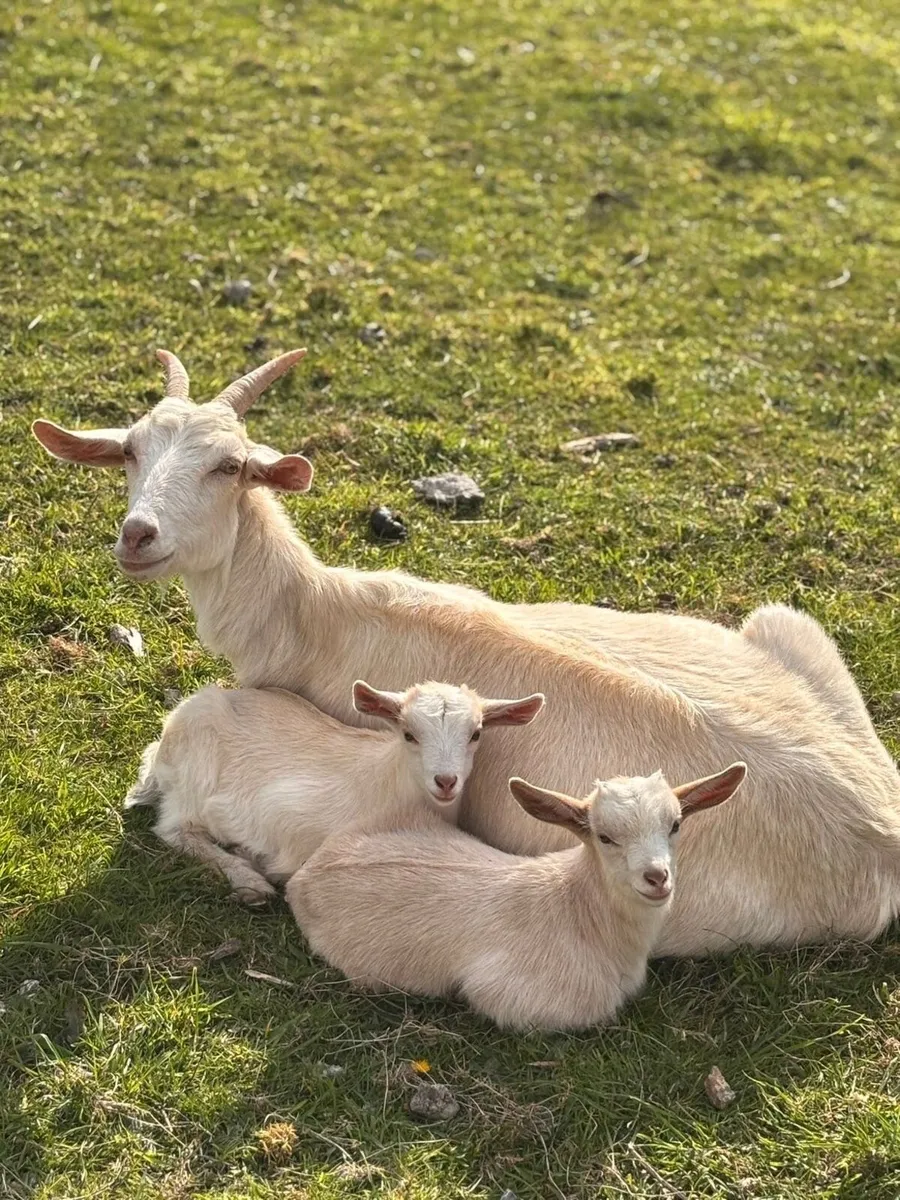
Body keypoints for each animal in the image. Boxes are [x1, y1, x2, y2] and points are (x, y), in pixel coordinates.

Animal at [125, 679, 543, 904]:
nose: (445, 781)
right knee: (175, 831)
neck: (385, 783)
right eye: (409, 734)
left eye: (476, 734)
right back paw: (249, 880)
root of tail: (168, 734)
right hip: (192, 783)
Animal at [288, 764, 747, 1030]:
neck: (577, 909)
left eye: (675, 824)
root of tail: (304, 877)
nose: (657, 877)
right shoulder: (513, 997)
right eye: (605, 836)